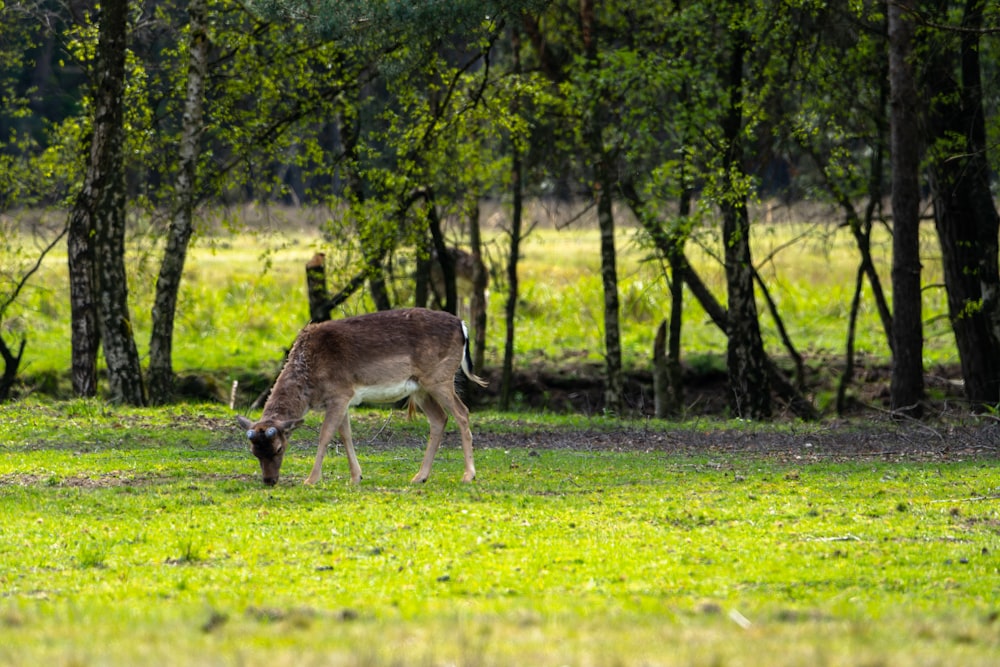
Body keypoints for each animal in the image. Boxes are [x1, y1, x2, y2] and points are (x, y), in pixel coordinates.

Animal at [234, 308, 484, 486]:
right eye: (254, 452)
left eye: (279, 448)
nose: (269, 481)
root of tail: (462, 326)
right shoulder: (342, 399)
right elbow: (345, 435)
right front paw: (356, 477)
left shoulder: (340, 392)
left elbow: (326, 435)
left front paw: (311, 479)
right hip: (420, 388)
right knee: (440, 419)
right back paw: (420, 476)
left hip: (440, 377)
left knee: (462, 413)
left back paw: (468, 475)